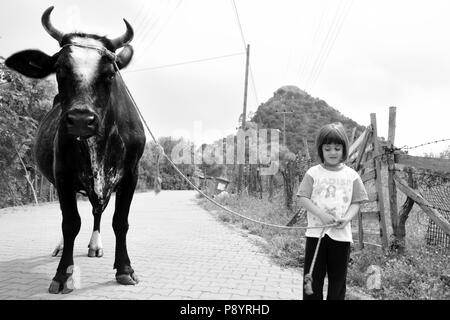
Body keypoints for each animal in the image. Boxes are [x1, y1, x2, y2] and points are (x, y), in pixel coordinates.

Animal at [5, 6, 146, 294]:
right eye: (59, 69)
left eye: (110, 73)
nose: (81, 119)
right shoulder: (62, 175)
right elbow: (70, 223)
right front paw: (62, 275)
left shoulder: (131, 174)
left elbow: (120, 222)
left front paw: (125, 269)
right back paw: (61, 247)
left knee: (97, 211)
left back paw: (95, 245)